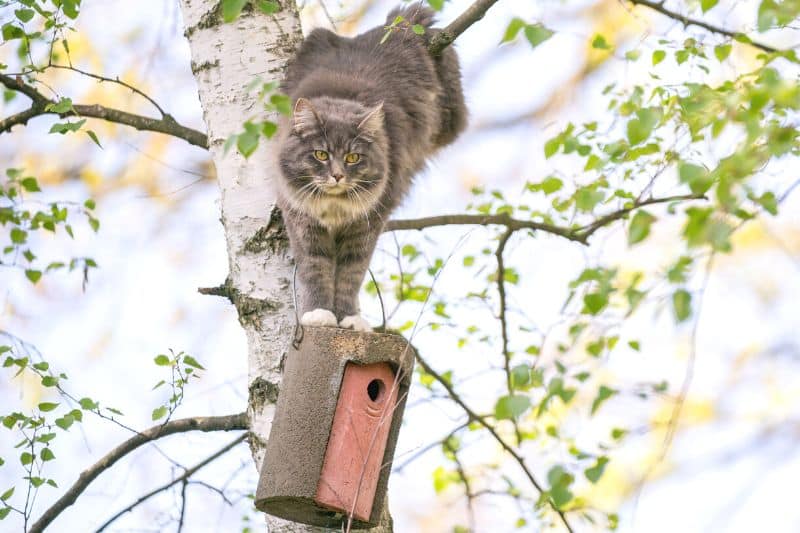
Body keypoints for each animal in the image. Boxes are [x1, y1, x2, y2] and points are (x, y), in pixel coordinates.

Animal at [274, 2, 466, 330]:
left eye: (353, 158)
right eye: (321, 154)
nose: (337, 176)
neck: (335, 207)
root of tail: (397, 22)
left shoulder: (366, 224)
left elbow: (351, 274)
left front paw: (349, 318)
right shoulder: (303, 221)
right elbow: (315, 269)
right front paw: (320, 315)